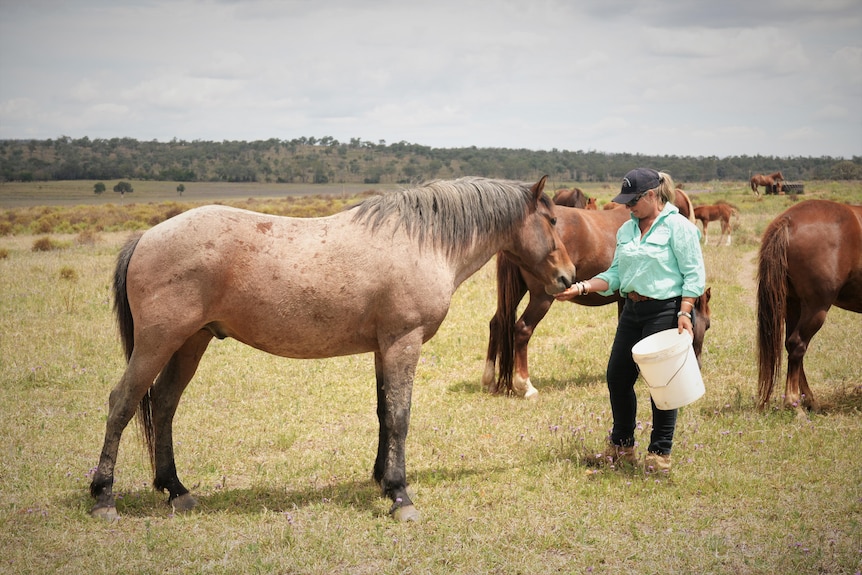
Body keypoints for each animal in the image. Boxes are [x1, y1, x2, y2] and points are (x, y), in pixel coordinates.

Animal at [89, 177, 580, 520]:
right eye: (553, 221)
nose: (568, 277)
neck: (422, 240)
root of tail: (146, 237)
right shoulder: (404, 343)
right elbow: (400, 417)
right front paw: (400, 495)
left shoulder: (384, 347)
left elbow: (384, 413)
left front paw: (382, 480)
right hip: (159, 343)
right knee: (123, 403)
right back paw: (104, 498)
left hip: (191, 342)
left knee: (164, 403)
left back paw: (176, 490)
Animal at [760, 200, 860, 412]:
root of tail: (788, 220)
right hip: (816, 308)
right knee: (797, 344)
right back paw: (793, 403)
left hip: (793, 305)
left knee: (791, 346)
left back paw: (808, 400)